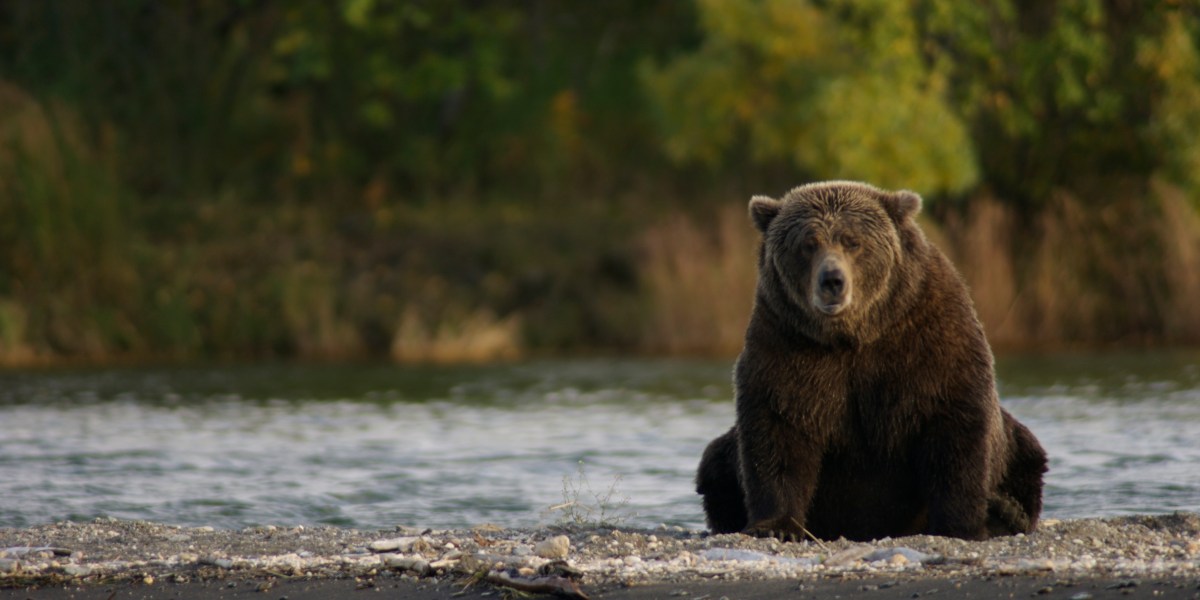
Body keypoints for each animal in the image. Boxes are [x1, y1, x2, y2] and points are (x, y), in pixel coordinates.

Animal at [695, 181, 1047, 542]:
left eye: (853, 241)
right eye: (808, 244)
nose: (832, 281)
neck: (854, 335)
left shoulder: (929, 339)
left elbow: (954, 427)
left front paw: (961, 524)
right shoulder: (786, 344)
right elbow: (779, 428)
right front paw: (776, 526)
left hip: (1015, 447)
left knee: (1027, 454)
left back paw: (1006, 513)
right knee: (715, 462)